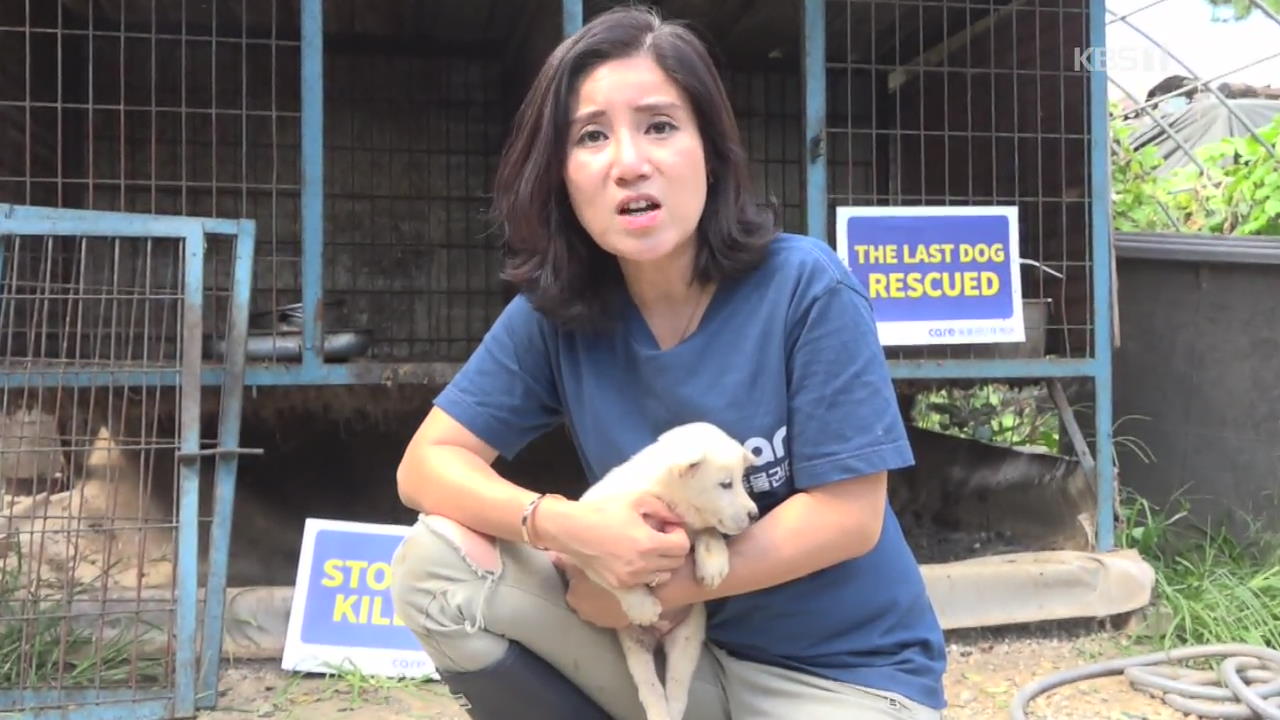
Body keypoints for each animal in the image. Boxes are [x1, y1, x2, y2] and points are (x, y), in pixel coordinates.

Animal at [576, 420, 752, 717]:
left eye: (742, 479)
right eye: (726, 484)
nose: (755, 514)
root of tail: (658, 637)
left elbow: (709, 531)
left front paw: (713, 561)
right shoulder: (587, 543)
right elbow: (610, 569)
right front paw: (642, 605)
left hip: (688, 637)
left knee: (677, 688)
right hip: (634, 644)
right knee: (650, 687)